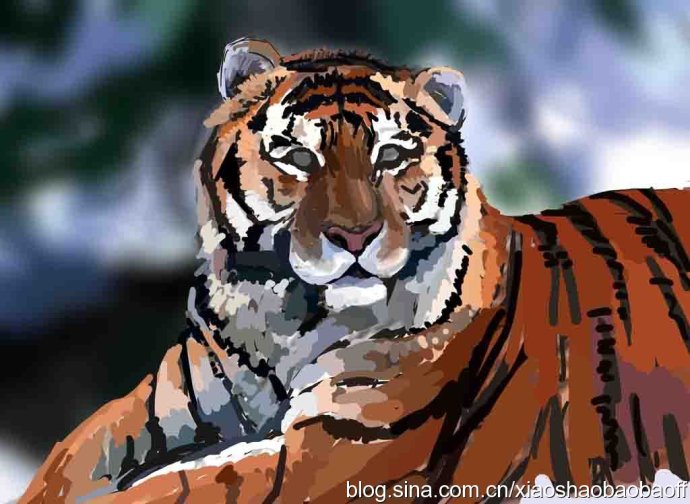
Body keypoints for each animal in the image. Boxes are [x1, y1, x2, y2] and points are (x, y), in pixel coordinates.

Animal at [20, 38, 690, 503]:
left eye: (390, 156)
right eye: (296, 155)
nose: (355, 235)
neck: (285, 320)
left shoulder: (332, 453)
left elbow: (181, 487)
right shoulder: (164, 402)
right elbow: (72, 455)